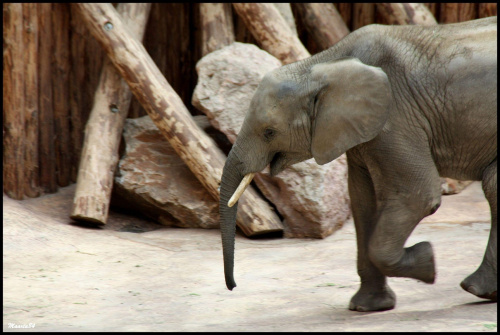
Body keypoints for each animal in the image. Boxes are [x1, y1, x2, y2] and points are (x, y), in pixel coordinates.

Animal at [219, 16, 496, 312]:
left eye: (269, 132)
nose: (233, 287)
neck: (321, 64)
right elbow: (363, 201)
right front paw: (369, 307)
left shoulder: (396, 116)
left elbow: (417, 195)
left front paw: (428, 262)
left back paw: (474, 289)